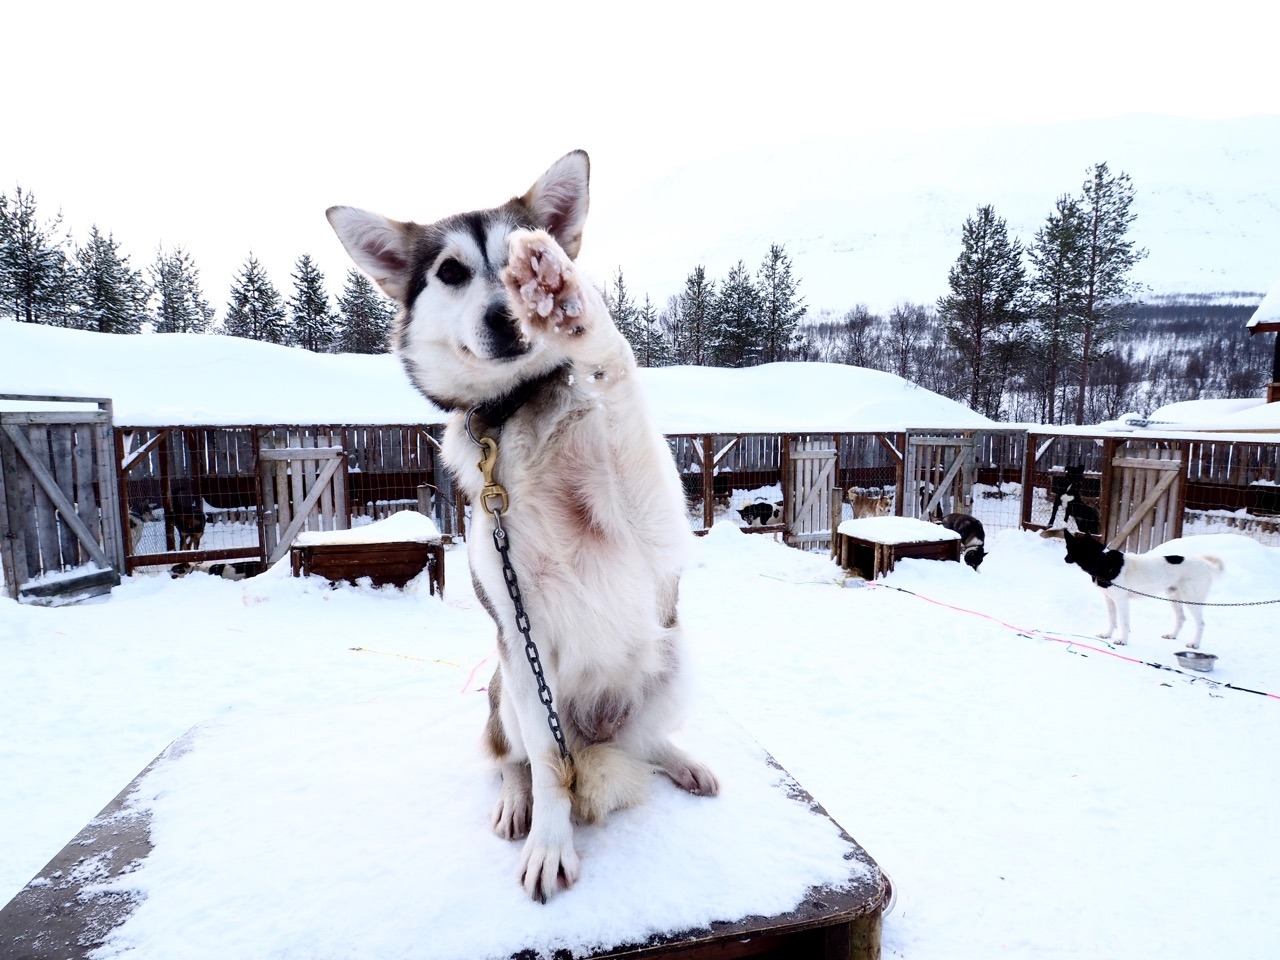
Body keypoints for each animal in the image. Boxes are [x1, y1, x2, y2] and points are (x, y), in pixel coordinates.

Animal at [325, 150, 721, 901]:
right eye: (451, 271)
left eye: (512, 256)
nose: (510, 314)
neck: (515, 413)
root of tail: (595, 733)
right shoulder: (519, 631)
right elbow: (545, 766)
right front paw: (549, 841)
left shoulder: (657, 537)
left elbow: (615, 374)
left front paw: (569, 302)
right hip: (508, 684)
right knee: (520, 757)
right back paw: (516, 800)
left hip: (676, 656)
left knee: (640, 743)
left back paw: (680, 759)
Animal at [1064, 529, 1223, 650]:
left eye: (1070, 548)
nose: (1065, 559)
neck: (1103, 561)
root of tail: (1205, 565)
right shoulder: (1109, 599)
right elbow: (1112, 620)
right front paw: (1107, 635)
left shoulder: (1122, 601)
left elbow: (1123, 622)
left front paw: (1122, 640)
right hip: (1174, 598)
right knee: (1181, 618)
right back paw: (1172, 635)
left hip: (1192, 601)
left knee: (1200, 623)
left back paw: (1195, 644)